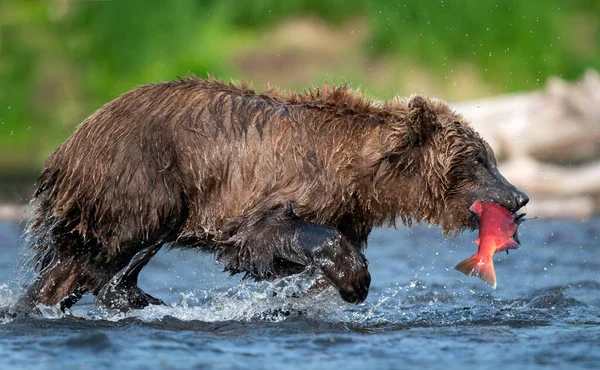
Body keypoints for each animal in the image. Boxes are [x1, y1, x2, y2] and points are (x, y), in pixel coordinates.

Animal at [17, 77, 524, 312]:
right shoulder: (275, 188)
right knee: (122, 244)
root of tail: (68, 143)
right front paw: (355, 280)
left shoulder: (347, 209)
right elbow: (263, 234)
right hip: (144, 174)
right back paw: (135, 297)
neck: (362, 175)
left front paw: (313, 287)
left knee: (72, 264)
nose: (518, 197)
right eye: (478, 159)